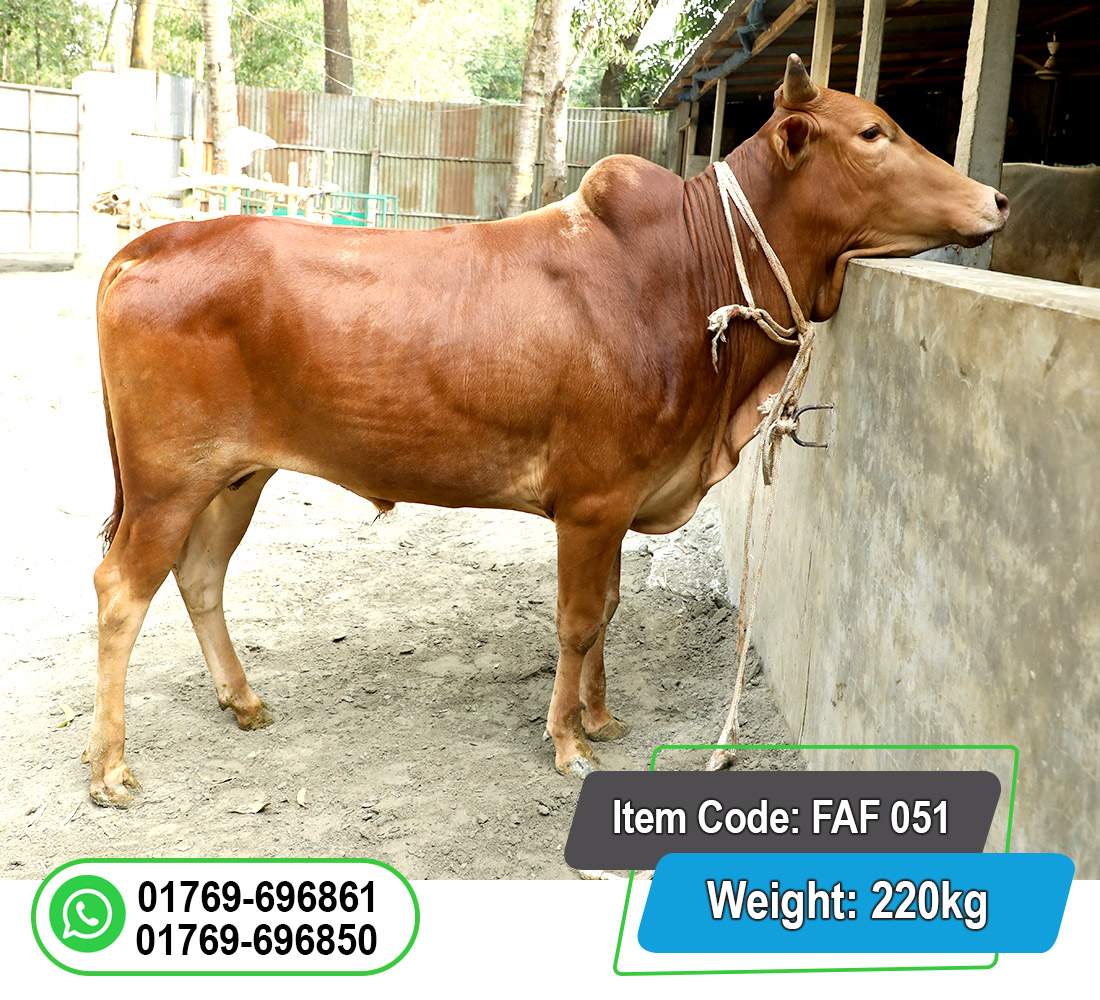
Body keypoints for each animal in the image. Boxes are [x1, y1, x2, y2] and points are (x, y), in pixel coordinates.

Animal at [86, 55, 1008, 807]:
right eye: (873, 132)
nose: (996, 197)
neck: (685, 275)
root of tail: (151, 243)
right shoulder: (593, 503)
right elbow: (575, 618)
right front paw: (567, 742)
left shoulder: (625, 498)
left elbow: (608, 609)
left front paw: (600, 717)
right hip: (167, 482)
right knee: (121, 591)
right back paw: (111, 768)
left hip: (234, 476)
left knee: (200, 575)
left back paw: (242, 700)